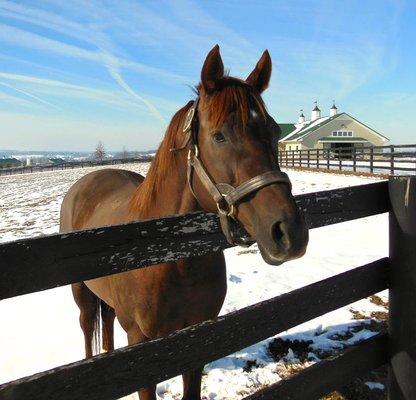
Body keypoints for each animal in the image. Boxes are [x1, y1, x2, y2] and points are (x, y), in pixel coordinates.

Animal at [61, 45, 308, 400]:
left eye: (274, 131)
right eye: (218, 136)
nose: (289, 232)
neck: (171, 256)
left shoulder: (195, 341)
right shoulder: (141, 343)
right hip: (80, 292)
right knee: (87, 330)